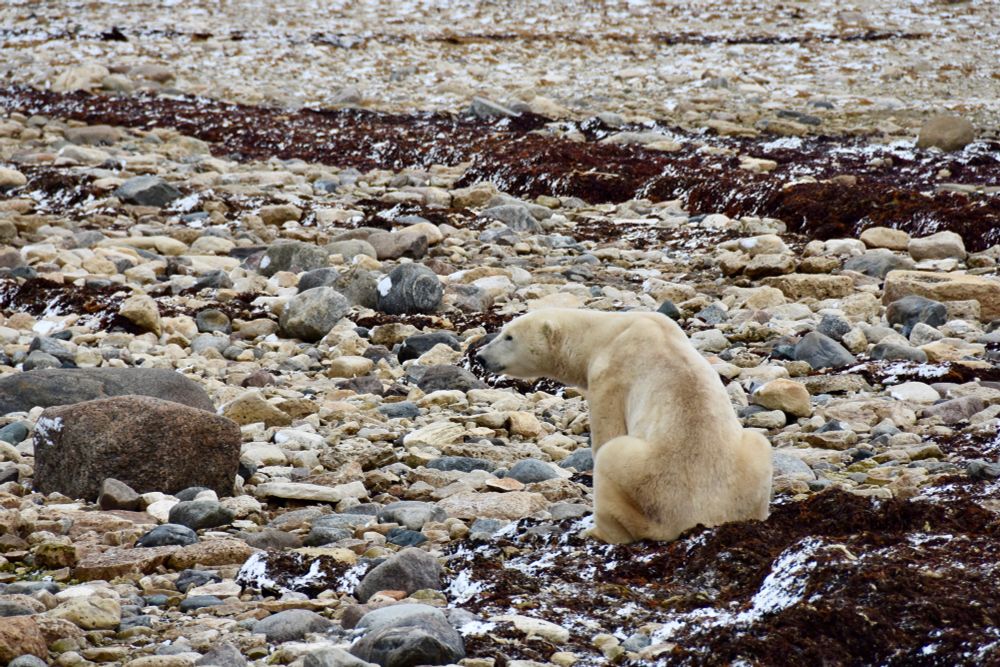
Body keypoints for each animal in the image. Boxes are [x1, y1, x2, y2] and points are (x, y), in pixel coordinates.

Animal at [476, 308, 772, 544]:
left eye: (509, 336)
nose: (479, 356)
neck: (608, 332)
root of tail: (698, 518)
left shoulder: (609, 377)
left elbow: (607, 431)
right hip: (750, 464)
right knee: (759, 443)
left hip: (648, 482)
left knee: (613, 458)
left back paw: (596, 531)